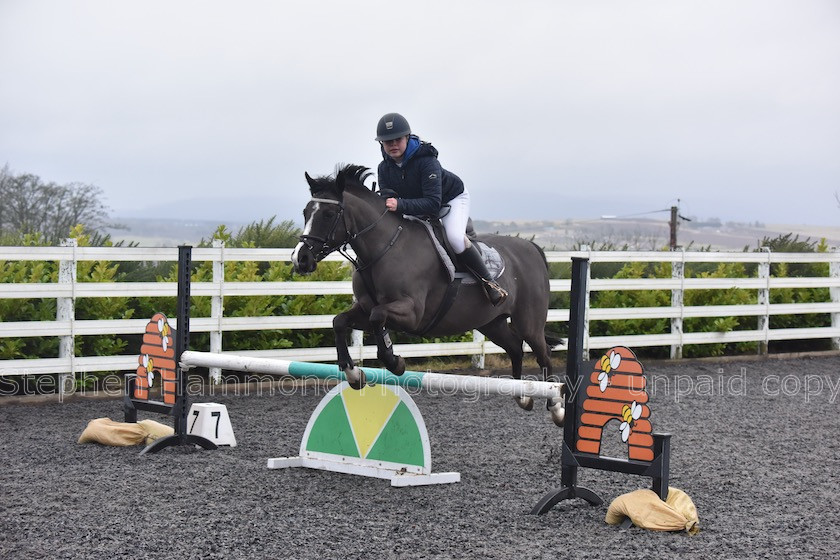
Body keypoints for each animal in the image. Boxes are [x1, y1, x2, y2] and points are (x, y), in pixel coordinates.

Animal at [292, 164, 560, 422]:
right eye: (305, 212)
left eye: (328, 214)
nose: (300, 259)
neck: (384, 248)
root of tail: (533, 248)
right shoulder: (364, 309)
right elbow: (340, 321)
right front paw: (354, 374)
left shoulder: (412, 313)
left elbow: (378, 317)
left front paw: (395, 362)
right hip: (491, 323)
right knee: (515, 347)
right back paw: (523, 397)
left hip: (528, 322)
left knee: (542, 354)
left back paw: (556, 408)